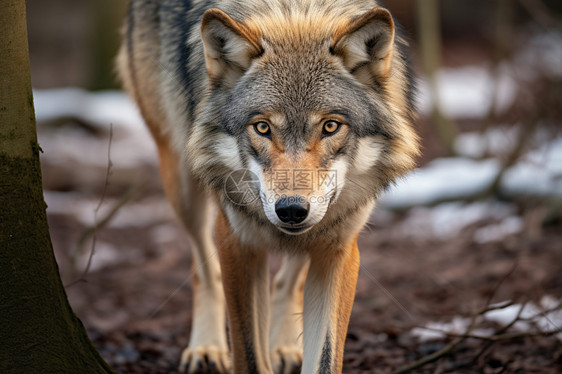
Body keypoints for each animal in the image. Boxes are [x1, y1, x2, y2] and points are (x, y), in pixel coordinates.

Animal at [116, 1, 418, 372]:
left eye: (330, 126)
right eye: (262, 127)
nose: (291, 210)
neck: (296, 15)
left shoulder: (340, 249)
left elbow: (325, 356)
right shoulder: (237, 242)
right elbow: (247, 353)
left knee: (285, 279)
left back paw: (283, 346)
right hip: (183, 182)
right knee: (202, 267)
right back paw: (206, 348)